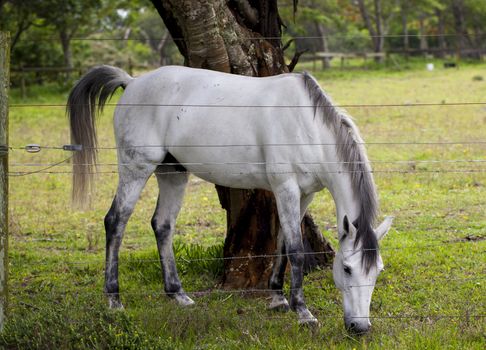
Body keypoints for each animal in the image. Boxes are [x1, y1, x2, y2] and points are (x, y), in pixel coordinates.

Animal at [67, 66, 392, 334]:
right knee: (116, 222)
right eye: (347, 268)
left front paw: (277, 298)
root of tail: (132, 82)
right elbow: (296, 250)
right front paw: (303, 312)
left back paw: (178, 295)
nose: (360, 327)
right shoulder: (285, 188)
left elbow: (282, 244)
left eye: (377, 270)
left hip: (173, 173)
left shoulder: (305, 194)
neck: (306, 126)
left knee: (162, 225)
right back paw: (114, 300)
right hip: (136, 168)